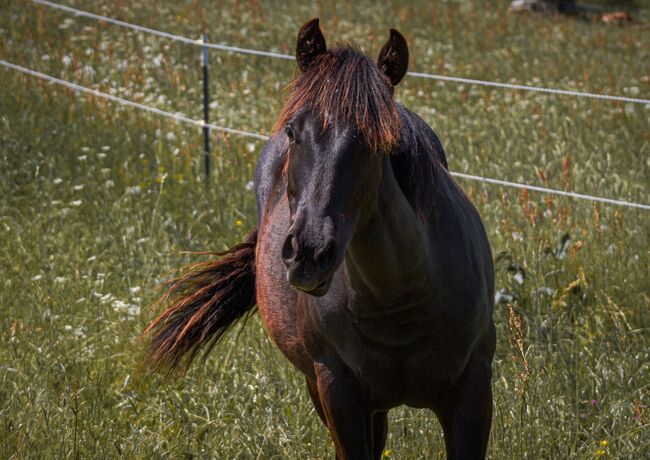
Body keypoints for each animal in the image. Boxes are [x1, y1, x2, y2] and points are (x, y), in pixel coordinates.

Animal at [144, 18, 494, 460]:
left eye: (380, 140)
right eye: (293, 131)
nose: (308, 253)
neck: (401, 301)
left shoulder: (473, 394)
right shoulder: (337, 393)